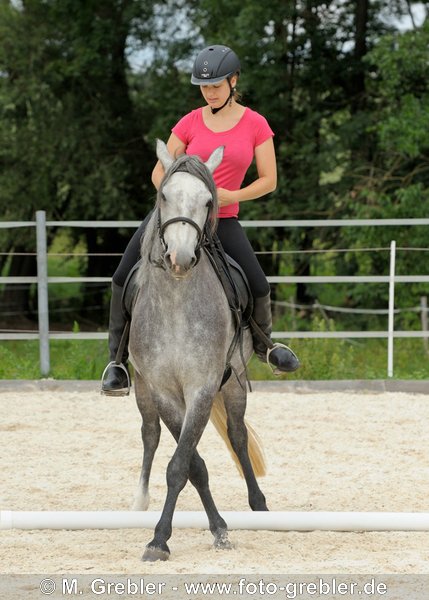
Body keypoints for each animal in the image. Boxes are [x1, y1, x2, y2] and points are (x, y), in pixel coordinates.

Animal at [128, 141, 268, 564]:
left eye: (208, 201)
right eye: (164, 196)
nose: (180, 258)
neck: (176, 303)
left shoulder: (203, 389)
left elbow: (182, 465)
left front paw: (162, 539)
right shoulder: (164, 391)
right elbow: (192, 465)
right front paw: (175, 535)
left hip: (235, 382)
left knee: (238, 435)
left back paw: (259, 505)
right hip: (141, 388)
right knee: (150, 434)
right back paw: (138, 502)